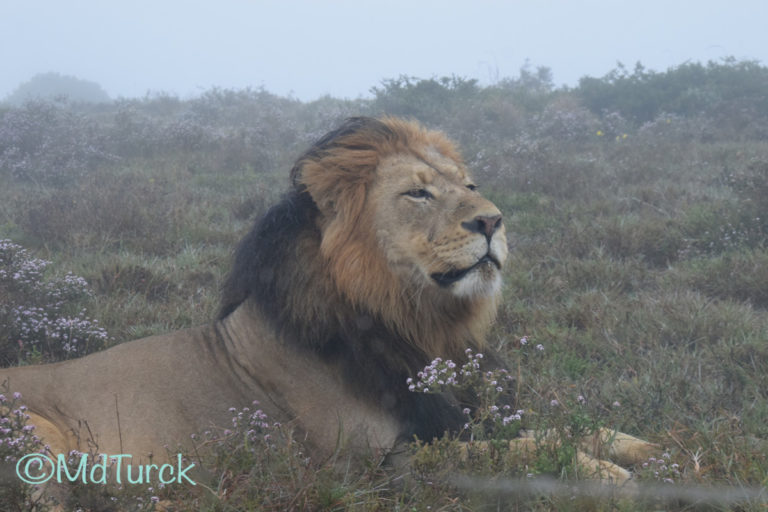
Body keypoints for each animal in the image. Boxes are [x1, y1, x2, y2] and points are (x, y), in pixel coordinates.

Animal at [1, 116, 656, 488]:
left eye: (469, 186)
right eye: (418, 193)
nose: (492, 220)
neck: (422, 326)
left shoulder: (458, 415)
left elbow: (563, 428)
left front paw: (640, 448)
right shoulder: (369, 466)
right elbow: (514, 451)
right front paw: (599, 473)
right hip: (36, 445)